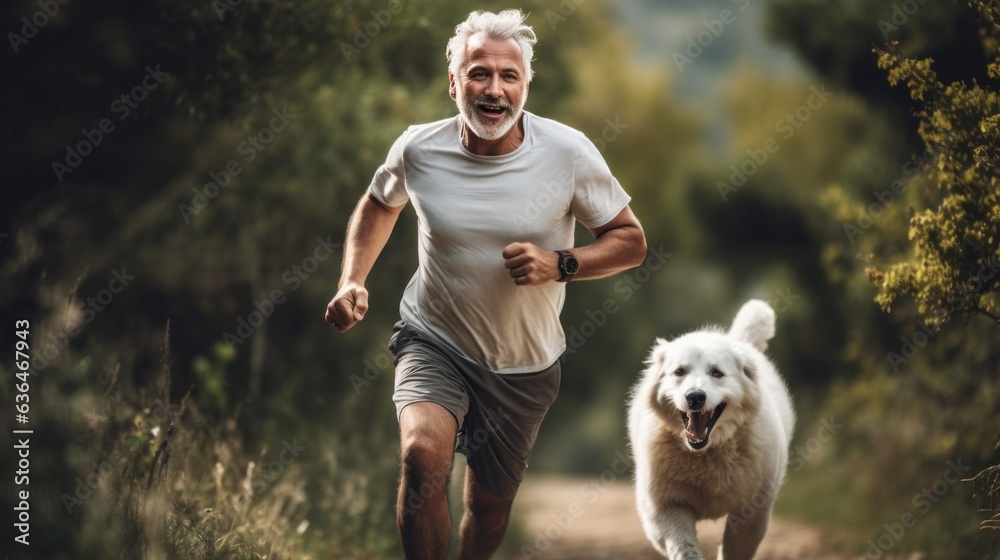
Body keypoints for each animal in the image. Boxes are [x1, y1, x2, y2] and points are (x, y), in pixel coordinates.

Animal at [628, 300, 792, 556]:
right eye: (680, 371)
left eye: (716, 373)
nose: (695, 396)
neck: (705, 456)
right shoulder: (666, 508)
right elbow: (685, 548)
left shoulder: (752, 515)